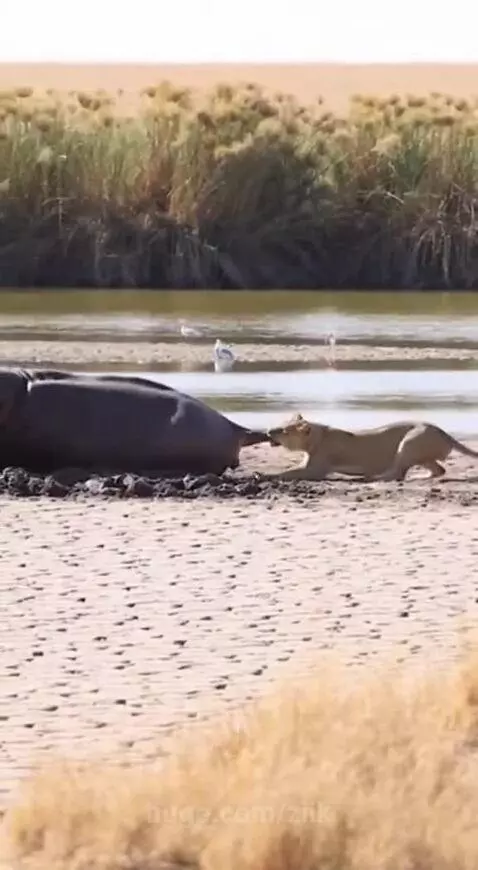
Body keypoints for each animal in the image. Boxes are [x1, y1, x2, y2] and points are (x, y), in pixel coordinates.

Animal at [264, 414, 478, 482]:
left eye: (283, 430)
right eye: (281, 423)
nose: (267, 431)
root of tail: (443, 432)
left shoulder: (316, 469)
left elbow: (287, 472)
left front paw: (263, 475)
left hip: (409, 442)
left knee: (397, 474)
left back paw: (372, 478)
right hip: (421, 452)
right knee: (439, 470)